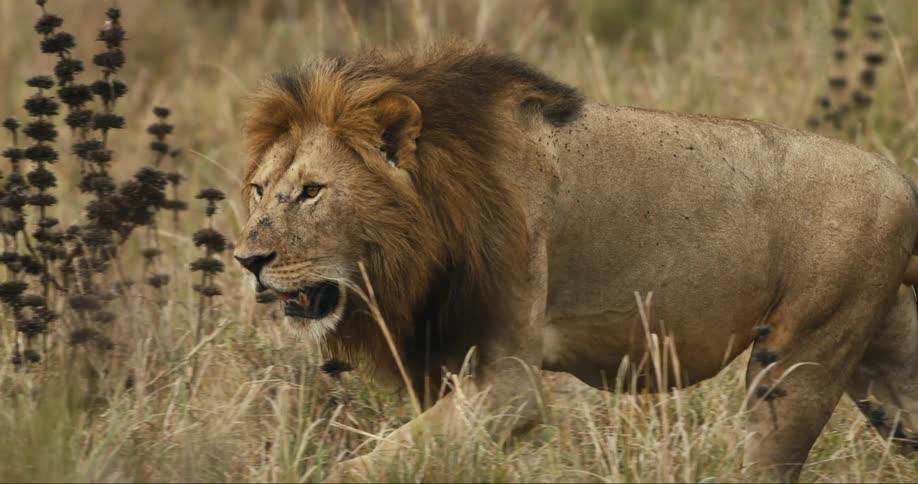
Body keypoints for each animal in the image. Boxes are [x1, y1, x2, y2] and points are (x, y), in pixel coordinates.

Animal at [234, 43, 918, 481]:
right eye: (260, 190)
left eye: (312, 191)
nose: (247, 260)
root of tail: (902, 181)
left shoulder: (508, 382)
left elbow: (375, 463)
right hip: (886, 371)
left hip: (797, 361)